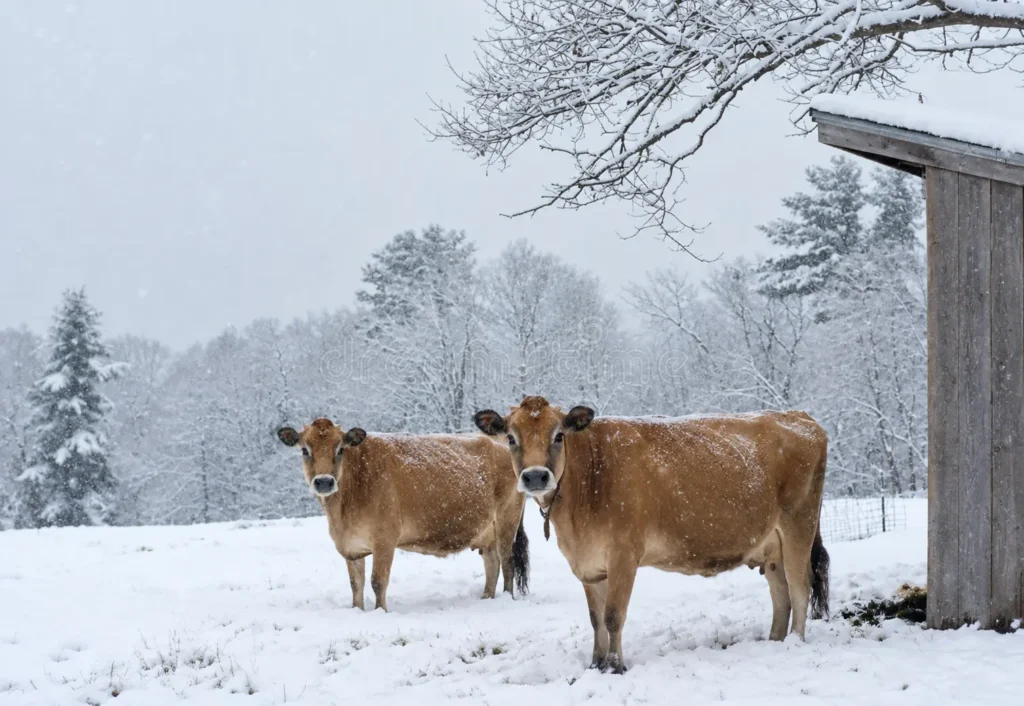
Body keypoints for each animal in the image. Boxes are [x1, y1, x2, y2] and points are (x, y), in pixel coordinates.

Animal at [276, 418, 529, 611]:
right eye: (305, 450)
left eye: (340, 449)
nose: (324, 482)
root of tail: (499, 443)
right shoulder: (352, 546)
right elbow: (355, 584)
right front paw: (357, 610)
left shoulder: (385, 539)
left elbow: (378, 581)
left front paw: (381, 611)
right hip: (487, 533)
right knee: (492, 563)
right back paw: (487, 598)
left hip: (507, 521)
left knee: (507, 562)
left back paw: (506, 598)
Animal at [472, 396, 829, 674]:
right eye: (511, 438)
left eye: (559, 435)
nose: (535, 476)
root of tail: (798, 416)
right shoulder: (588, 564)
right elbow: (595, 618)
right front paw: (596, 664)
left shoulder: (624, 555)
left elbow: (613, 616)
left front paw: (616, 667)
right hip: (772, 545)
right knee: (781, 594)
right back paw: (775, 641)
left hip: (799, 526)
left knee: (799, 588)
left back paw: (795, 642)